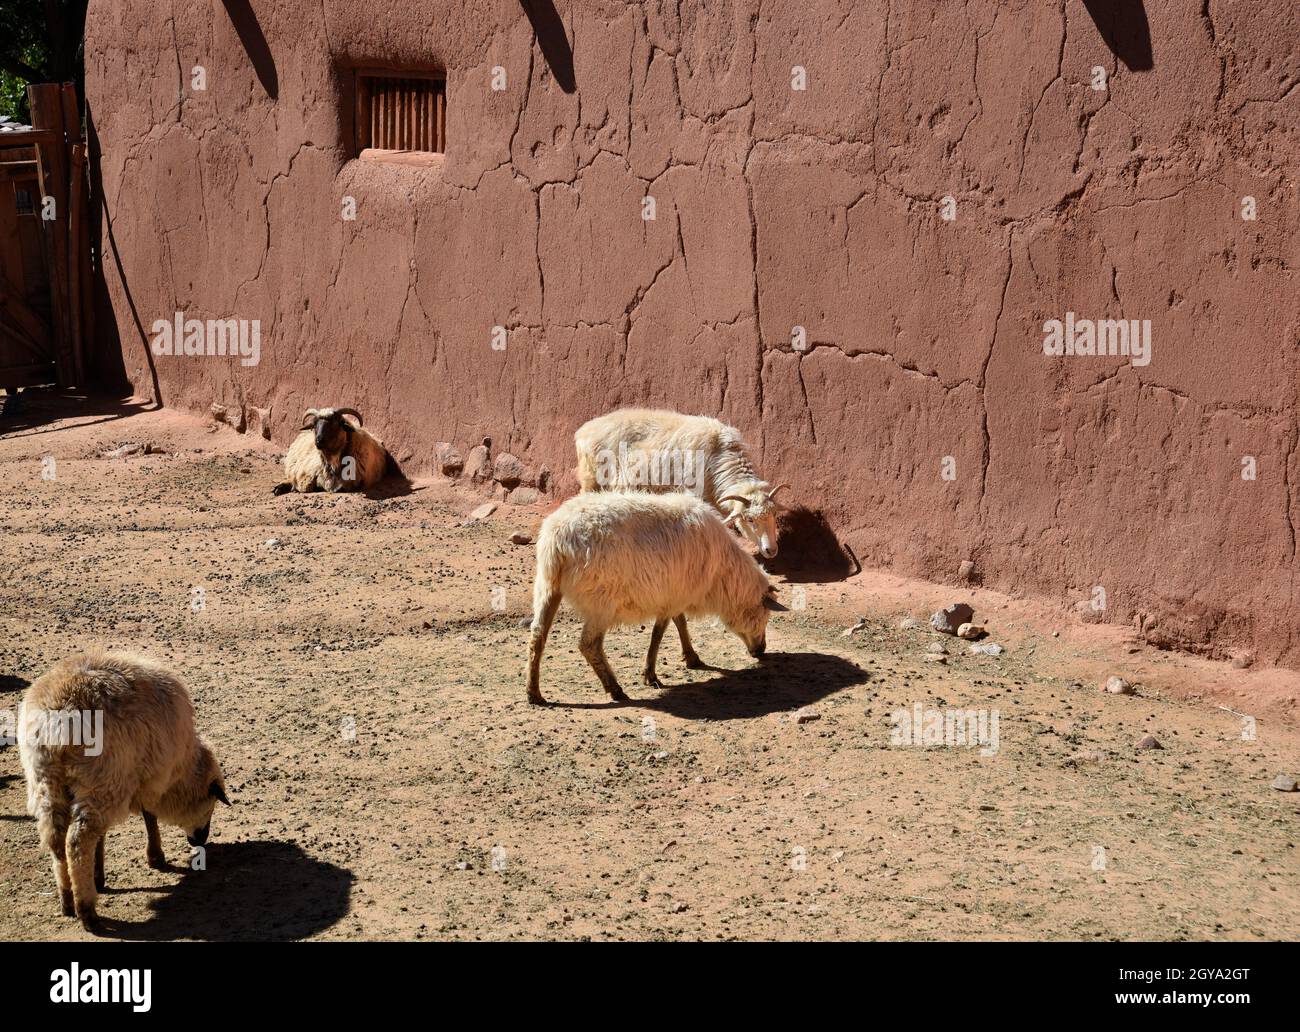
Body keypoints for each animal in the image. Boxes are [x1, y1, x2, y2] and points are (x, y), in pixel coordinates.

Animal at [17, 650, 229, 932]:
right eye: (211, 804)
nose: (201, 840)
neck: (182, 769)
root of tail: (57, 718)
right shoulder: (150, 777)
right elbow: (150, 817)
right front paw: (156, 857)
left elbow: (104, 835)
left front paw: (98, 875)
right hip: (100, 780)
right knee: (78, 841)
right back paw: (87, 911)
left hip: (47, 784)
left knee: (56, 839)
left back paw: (67, 899)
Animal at [526, 491, 788, 705]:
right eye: (764, 615)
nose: (761, 650)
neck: (722, 575)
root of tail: (558, 538)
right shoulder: (672, 597)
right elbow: (659, 634)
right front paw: (651, 675)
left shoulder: (675, 593)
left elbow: (680, 624)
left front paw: (691, 657)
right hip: (601, 602)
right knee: (589, 645)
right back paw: (615, 689)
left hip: (547, 587)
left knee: (537, 636)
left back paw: (534, 693)